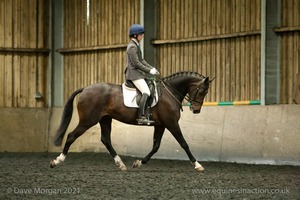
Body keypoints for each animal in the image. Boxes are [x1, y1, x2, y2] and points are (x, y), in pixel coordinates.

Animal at [50, 71, 212, 171]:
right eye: (201, 91)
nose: (196, 110)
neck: (169, 92)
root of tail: (85, 89)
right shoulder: (171, 123)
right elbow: (184, 143)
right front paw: (197, 165)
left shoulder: (161, 125)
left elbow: (156, 146)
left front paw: (138, 162)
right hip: (88, 120)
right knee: (71, 136)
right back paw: (57, 161)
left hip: (105, 119)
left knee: (106, 140)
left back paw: (121, 164)